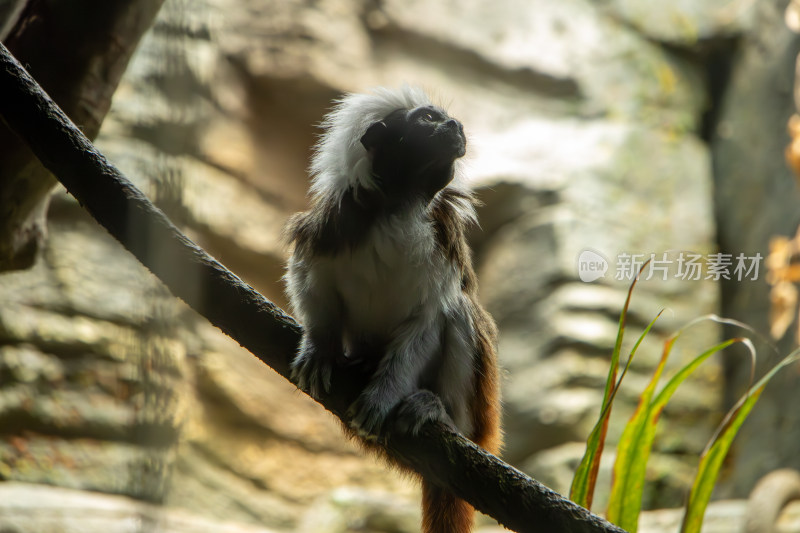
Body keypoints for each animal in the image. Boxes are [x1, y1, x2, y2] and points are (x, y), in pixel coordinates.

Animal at [286, 85, 500, 528]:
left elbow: (428, 320)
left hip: (482, 413)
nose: (456, 126)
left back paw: (439, 413)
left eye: (446, 119)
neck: (399, 207)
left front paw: (383, 397)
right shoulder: (335, 222)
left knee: (460, 312)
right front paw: (319, 349)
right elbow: (308, 275)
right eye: (428, 119)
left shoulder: (441, 239)